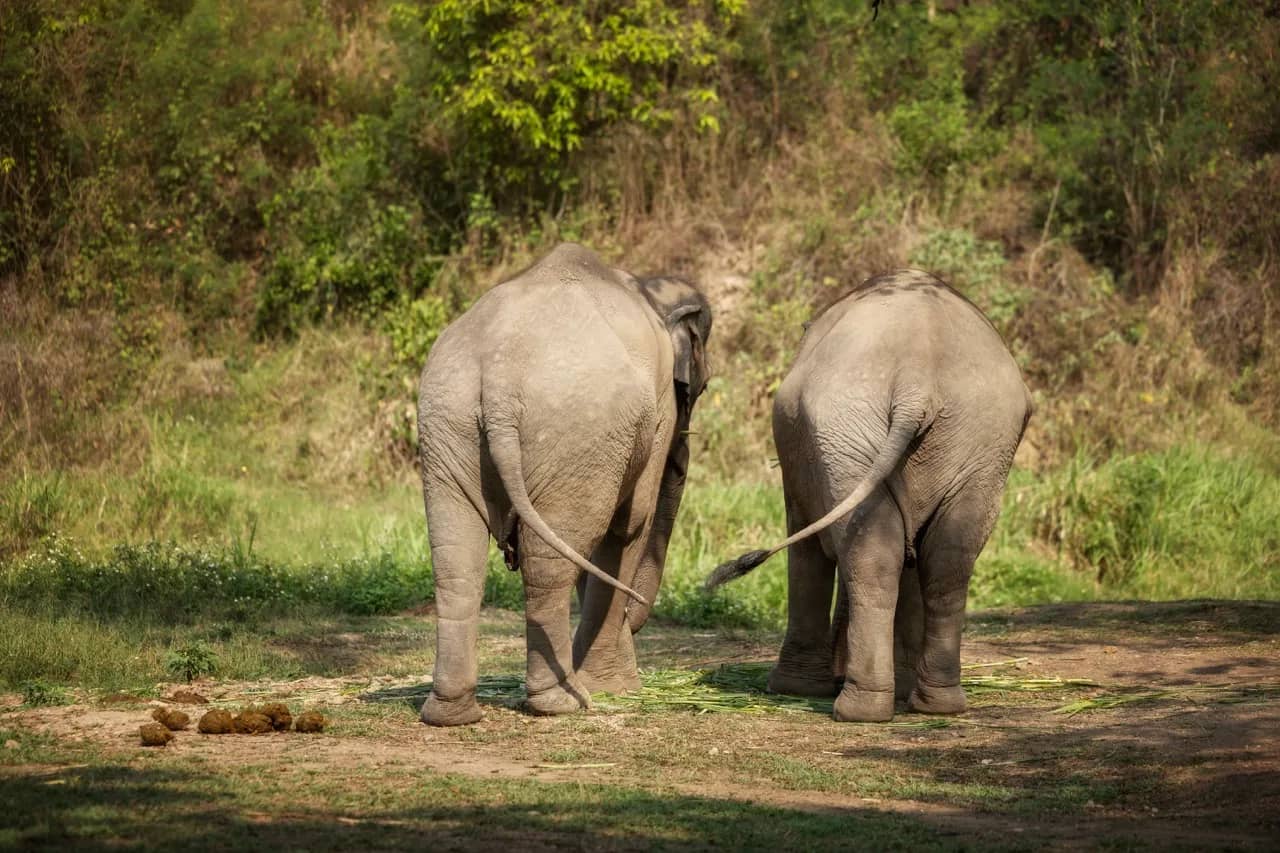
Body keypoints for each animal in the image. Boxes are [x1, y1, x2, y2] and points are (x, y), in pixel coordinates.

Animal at [417, 242, 712, 726]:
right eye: (697, 388)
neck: (644, 285)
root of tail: (498, 375)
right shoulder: (654, 411)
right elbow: (629, 524)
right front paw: (616, 687)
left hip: (449, 423)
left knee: (456, 560)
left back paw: (452, 713)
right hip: (576, 432)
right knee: (551, 559)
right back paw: (561, 702)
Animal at [707, 269, 1031, 722]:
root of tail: (917, 383)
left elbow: (808, 542)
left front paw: (791, 689)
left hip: (862, 429)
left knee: (876, 555)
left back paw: (858, 709)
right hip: (973, 438)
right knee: (945, 559)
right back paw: (933, 705)